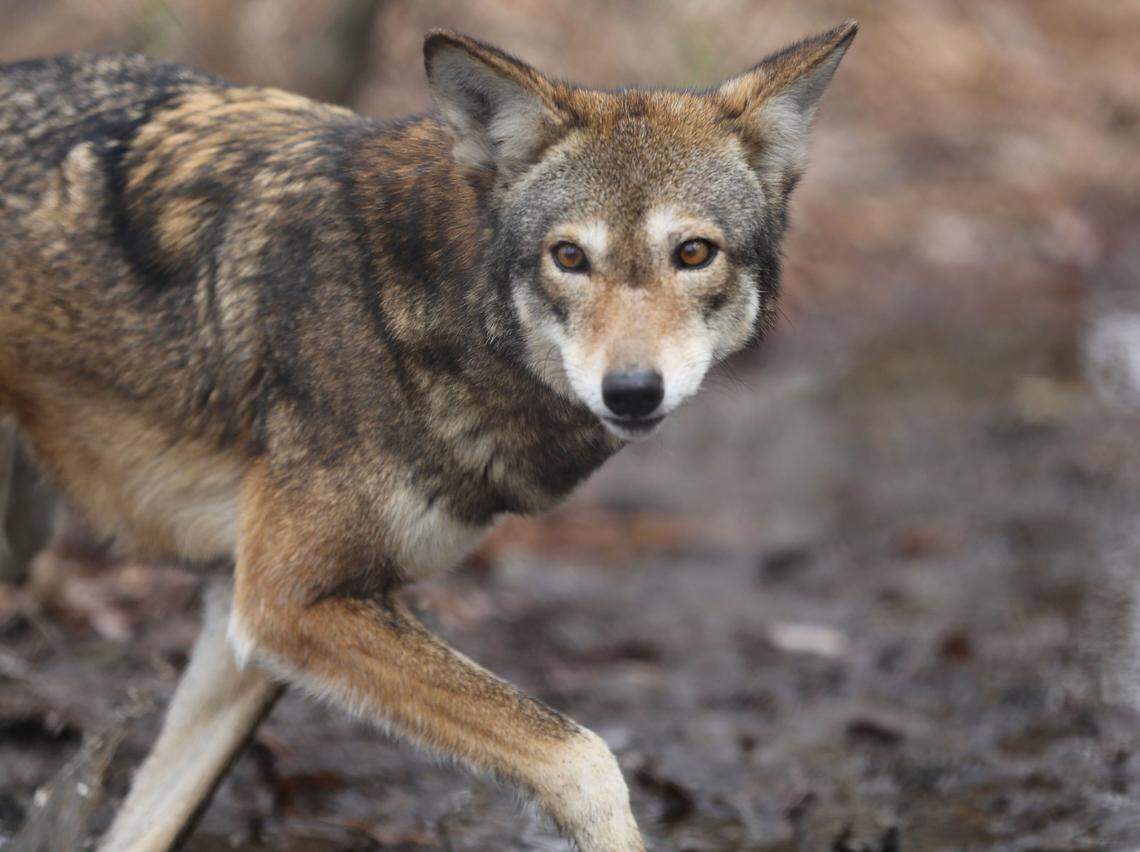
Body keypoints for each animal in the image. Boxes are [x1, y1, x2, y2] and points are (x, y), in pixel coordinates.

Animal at [0, 21, 855, 851]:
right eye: (569, 257)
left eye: (693, 253)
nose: (633, 390)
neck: (422, 304)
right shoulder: (286, 601)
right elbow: (582, 759)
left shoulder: (248, 620)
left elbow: (149, 822)